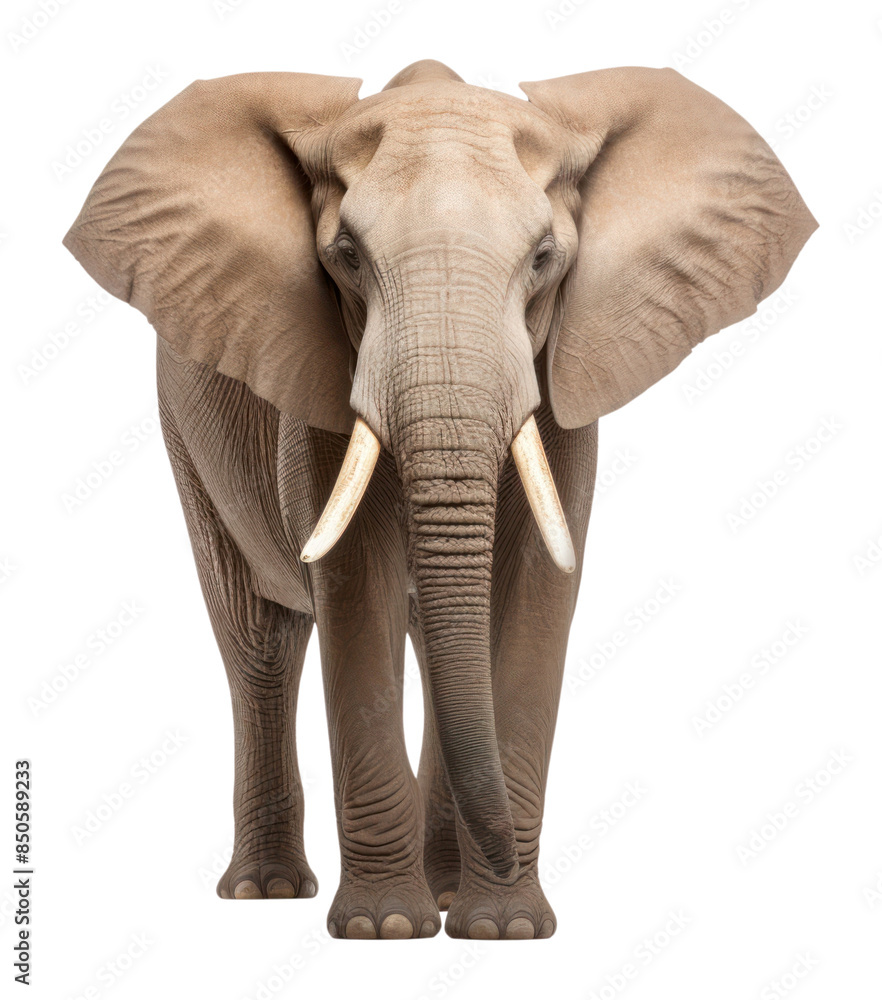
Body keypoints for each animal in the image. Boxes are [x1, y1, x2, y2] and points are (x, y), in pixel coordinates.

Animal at [63, 59, 815, 940]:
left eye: (545, 258)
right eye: (346, 256)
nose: (504, 865)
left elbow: (535, 593)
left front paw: (502, 928)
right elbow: (356, 590)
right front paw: (386, 927)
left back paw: (448, 889)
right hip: (185, 431)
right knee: (260, 641)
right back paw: (269, 889)